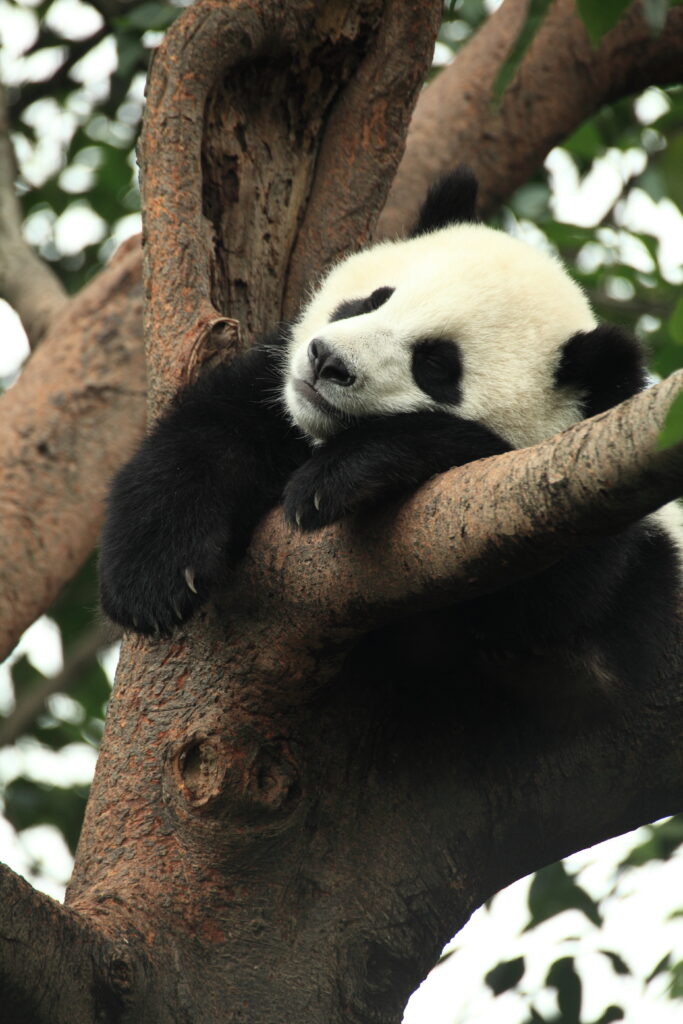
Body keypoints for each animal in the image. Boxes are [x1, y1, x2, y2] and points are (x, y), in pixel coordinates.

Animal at [99, 167, 682, 690]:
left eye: (435, 364)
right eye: (376, 298)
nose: (327, 362)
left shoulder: (586, 540)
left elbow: (541, 594)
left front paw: (333, 480)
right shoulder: (272, 394)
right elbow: (210, 433)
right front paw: (153, 577)